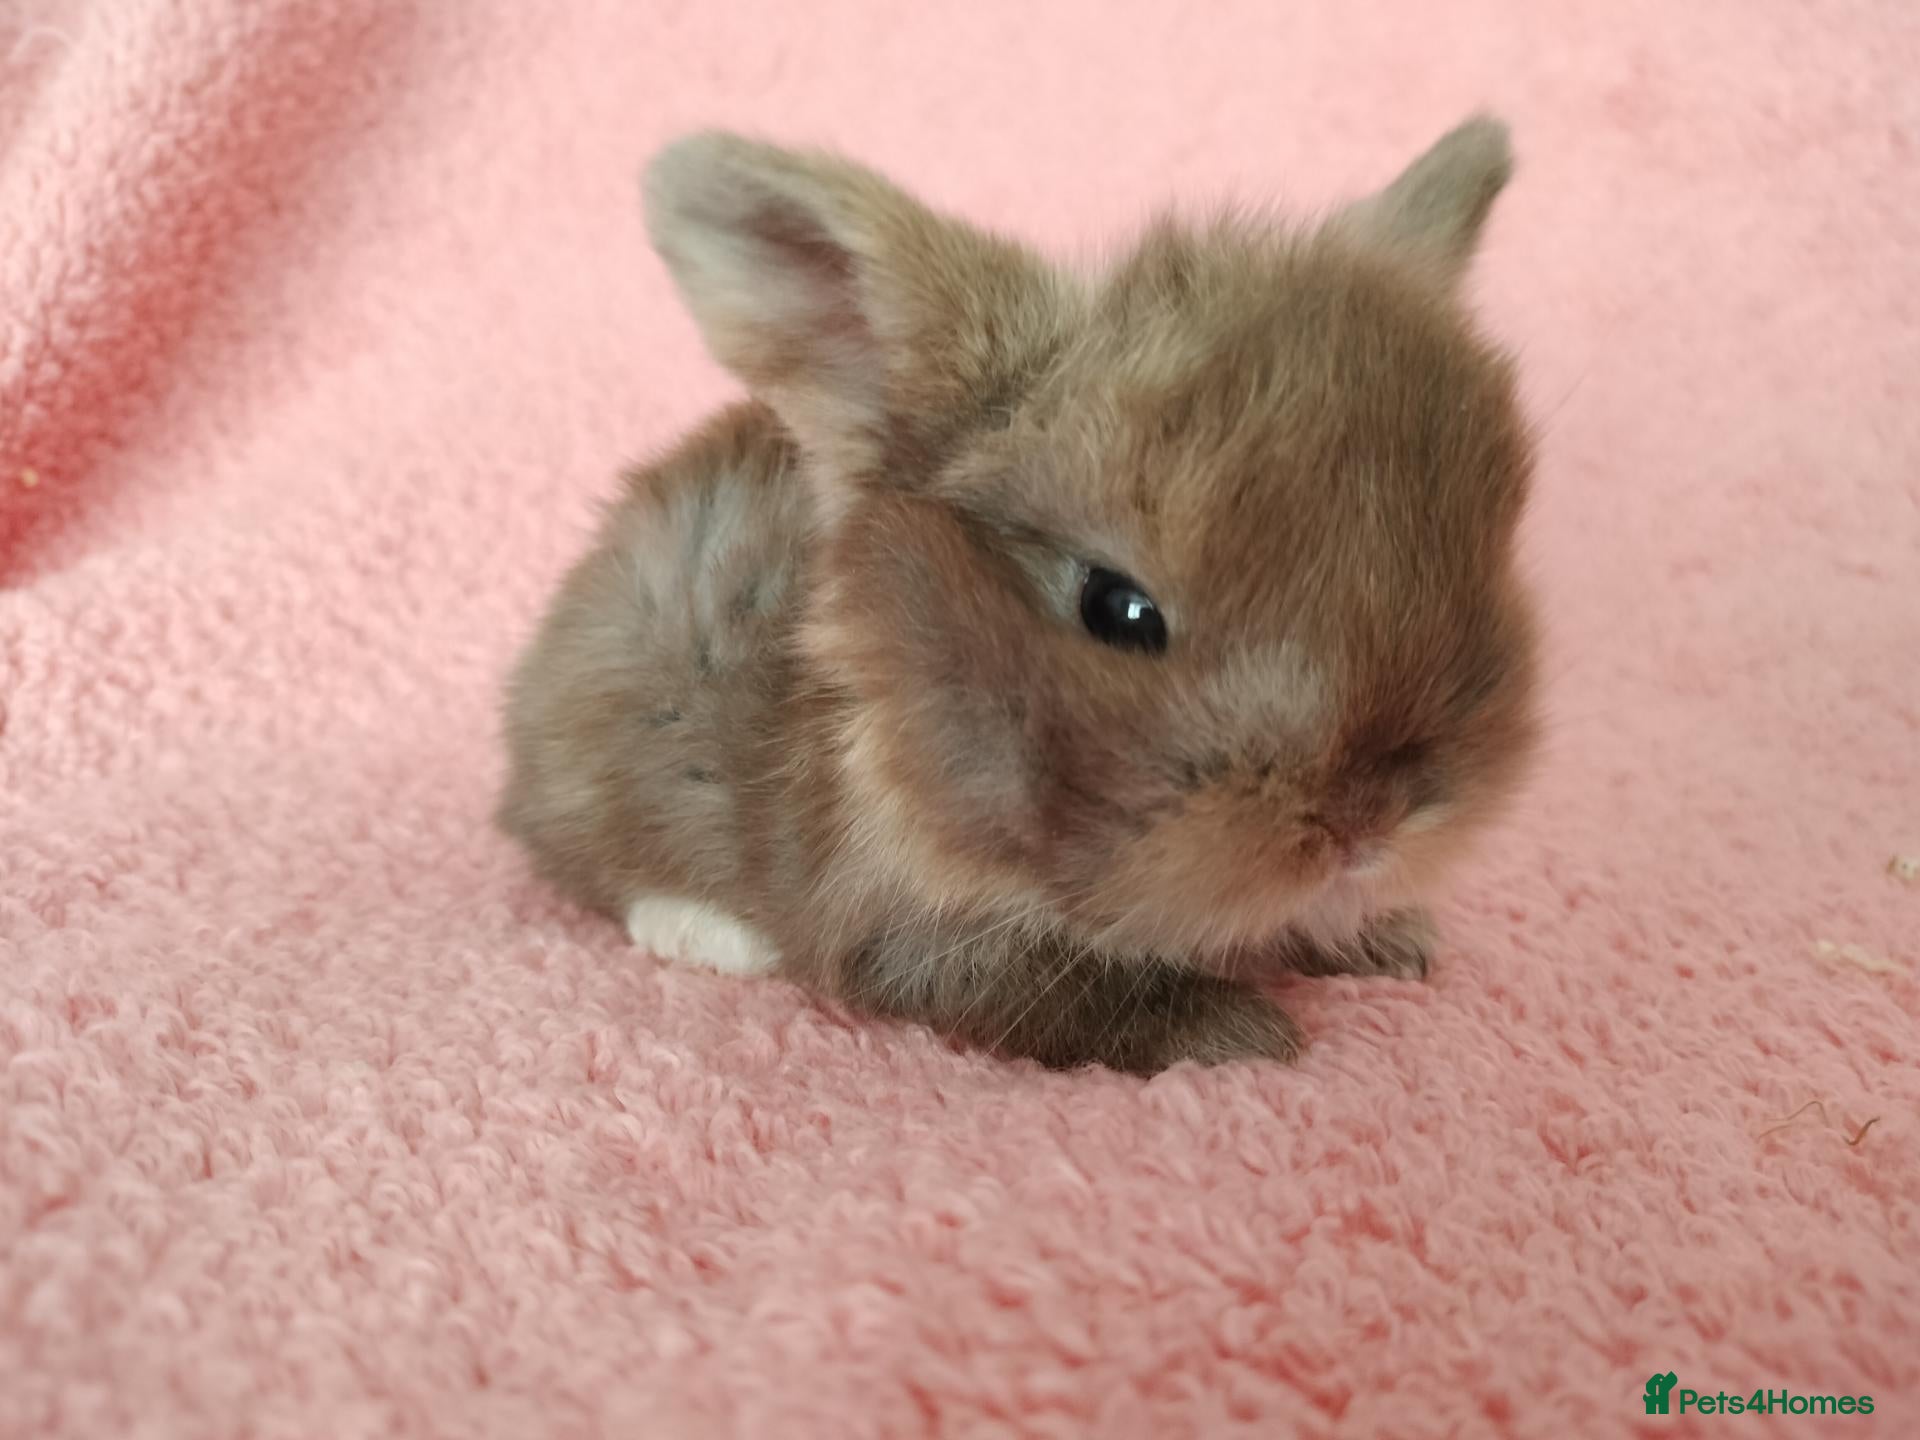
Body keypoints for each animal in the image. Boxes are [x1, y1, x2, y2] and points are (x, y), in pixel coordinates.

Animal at [499, 115, 1541, 1075]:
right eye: (1118, 608)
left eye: (1480, 571)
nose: (1371, 819)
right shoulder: (911, 934)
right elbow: (1073, 998)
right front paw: (1241, 1035)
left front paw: (1388, 938)